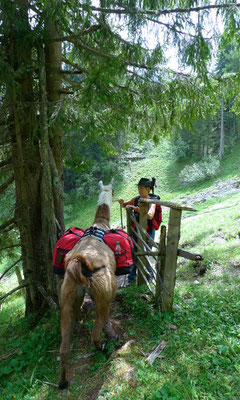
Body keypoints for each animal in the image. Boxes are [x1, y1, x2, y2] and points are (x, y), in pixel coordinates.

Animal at [58, 180, 116, 390]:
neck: (99, 224)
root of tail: (79, 261)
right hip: (104, 295)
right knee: (95, 335)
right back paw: (105, 348)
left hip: (67, 299)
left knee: (63, 348)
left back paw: (63, 381)